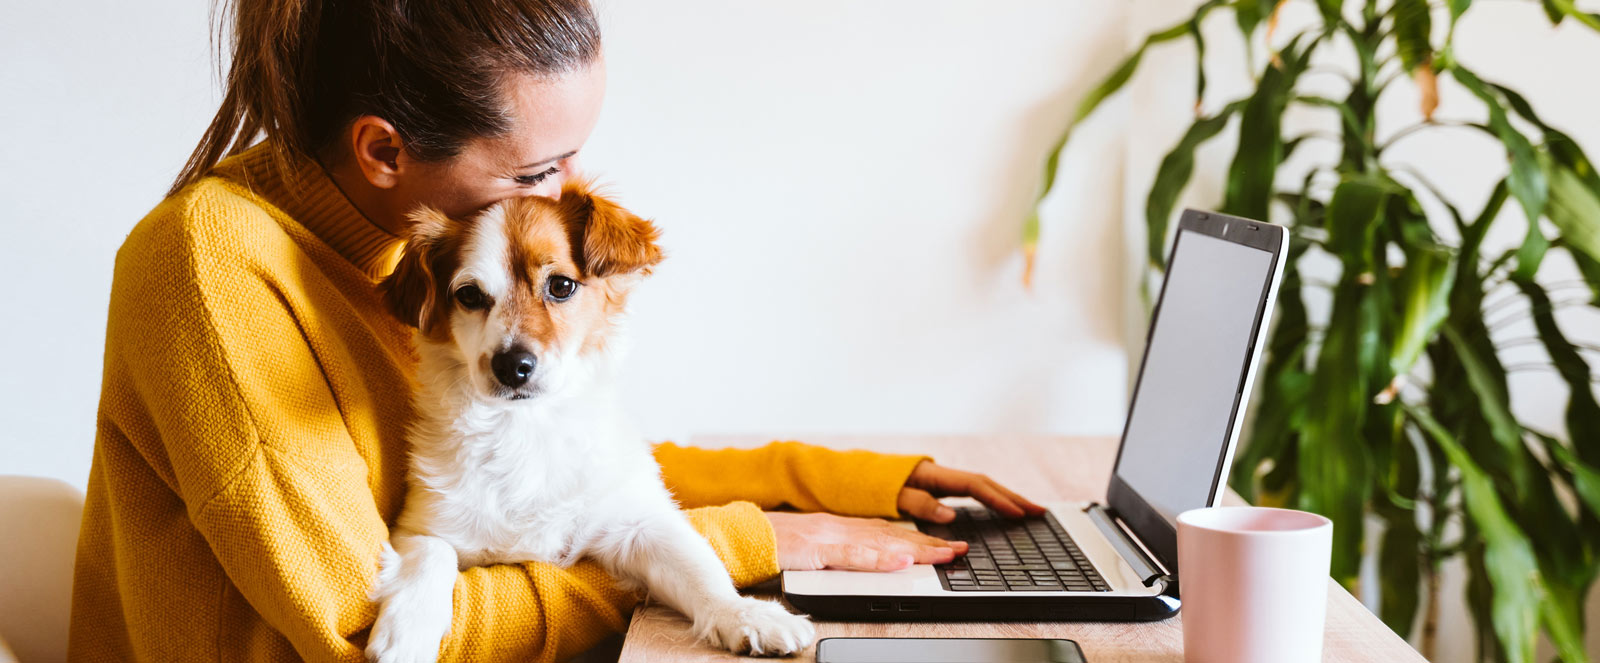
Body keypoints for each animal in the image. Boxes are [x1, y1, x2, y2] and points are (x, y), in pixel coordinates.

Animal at [366, 178, 812, 659]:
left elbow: (699, 568)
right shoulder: (421, 526)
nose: (512, 365)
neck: (526, 429)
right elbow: (432, 557)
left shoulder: (637, 525)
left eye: (561, 285)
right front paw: (407, 633)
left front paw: (746, 614)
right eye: (469, 295)